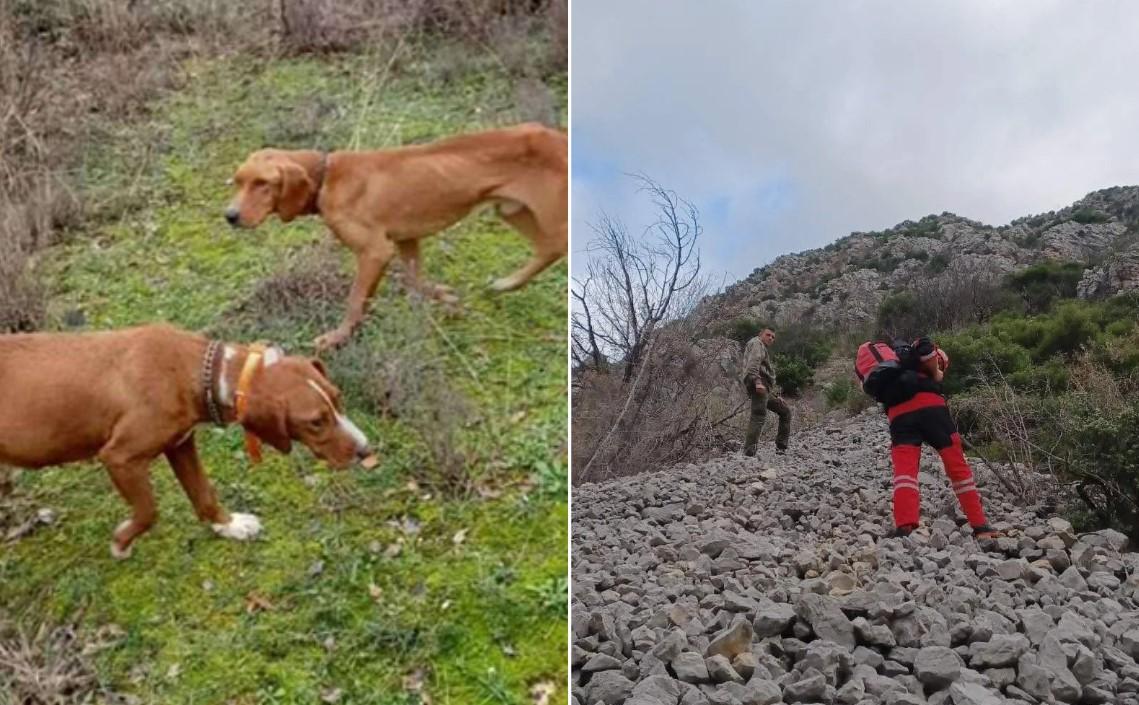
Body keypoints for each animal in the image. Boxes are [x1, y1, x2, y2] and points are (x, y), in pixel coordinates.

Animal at [224, 124, 567, 353]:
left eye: (263, 183)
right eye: (238, 181)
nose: (230, 215)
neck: (327, 177)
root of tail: (558, 136)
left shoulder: (375, 251)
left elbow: (355, 301)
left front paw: (337, 337)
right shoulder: (406, 240)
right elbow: (417, 281)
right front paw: (447, 298)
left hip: (546, 214)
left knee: (556, 246)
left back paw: (509, 283)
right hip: (512, 210)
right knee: (545, 248)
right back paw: (506, 284)